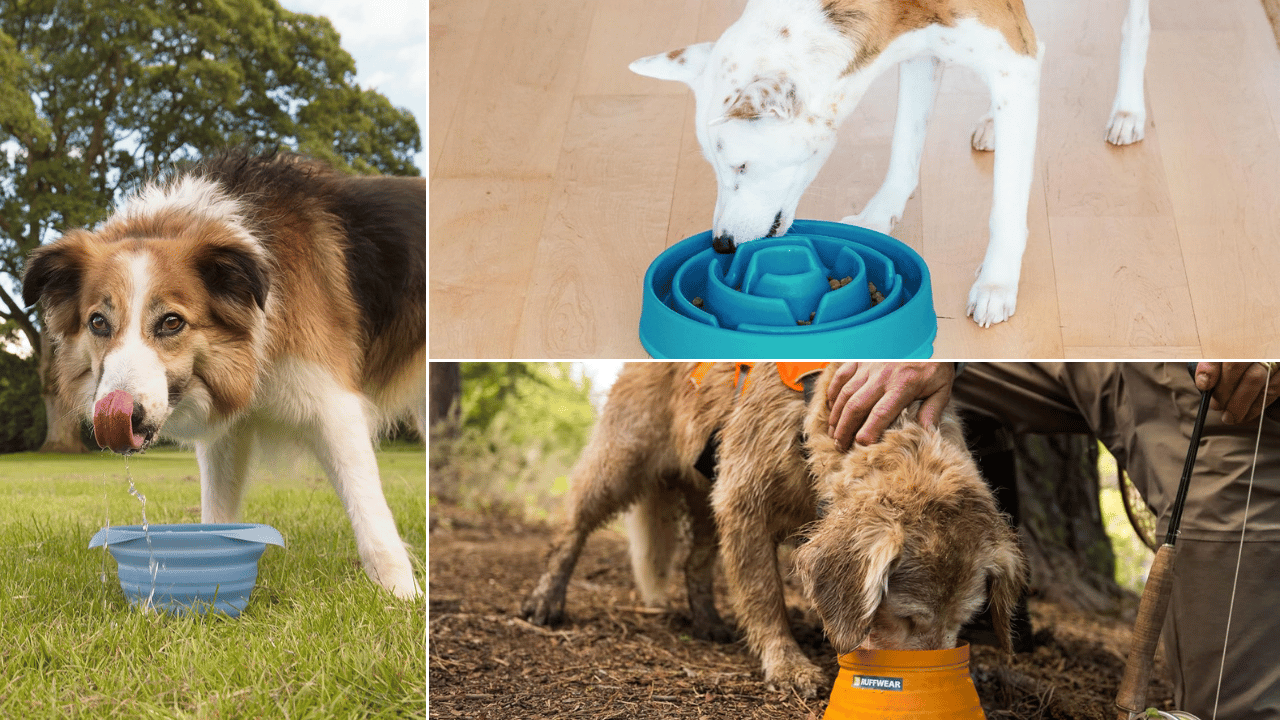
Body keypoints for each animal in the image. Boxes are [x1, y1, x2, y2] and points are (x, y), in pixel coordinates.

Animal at [23, 148, 424, 597]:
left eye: (172, 322)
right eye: (98, 323)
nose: (120, 415)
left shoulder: (334, 406)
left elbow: (370, 513)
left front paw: (403, 597)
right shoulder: (226, 435)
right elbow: (217, 516)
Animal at [634, 0, 1157, 326]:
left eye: (742, 167)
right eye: (717, 168)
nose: (721, 245)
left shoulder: (1009, 60)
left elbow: (1007, 205)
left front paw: (996, 281)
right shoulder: (925, 51)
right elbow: (906, 143)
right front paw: (877, 218)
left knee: (1132, 25)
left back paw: (1128, 111)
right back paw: (997, 123)